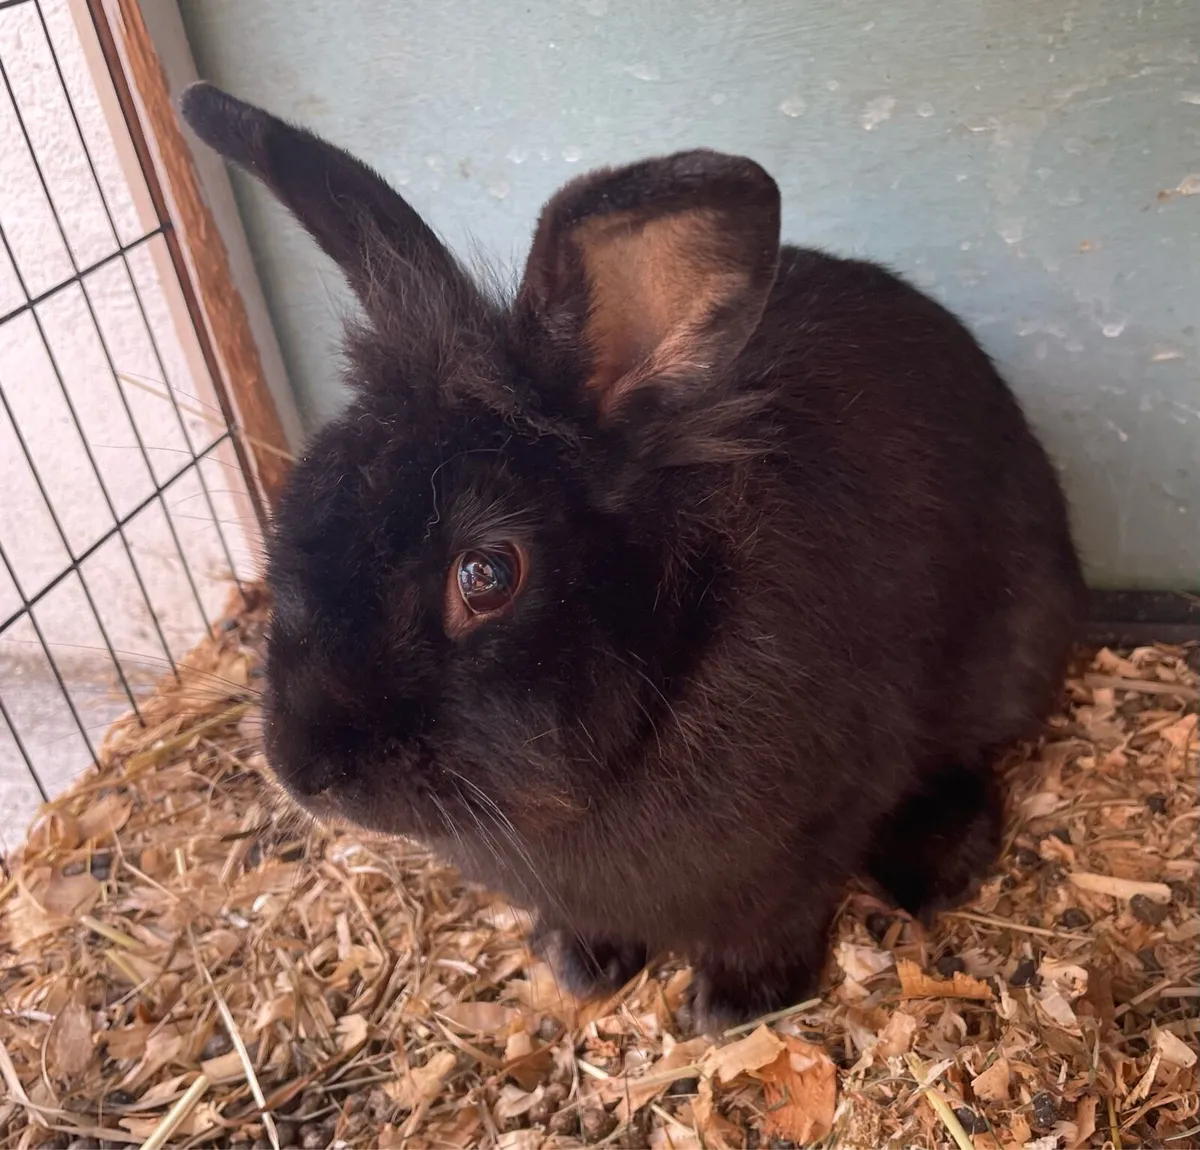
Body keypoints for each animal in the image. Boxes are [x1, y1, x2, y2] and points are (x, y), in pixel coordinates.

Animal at [180, 82, 1086, 1032]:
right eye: (296, 506)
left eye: (486, 576)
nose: (301, 767)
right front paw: (581, 967)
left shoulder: (809, 841)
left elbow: (774, 919)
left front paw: (734, 1006)